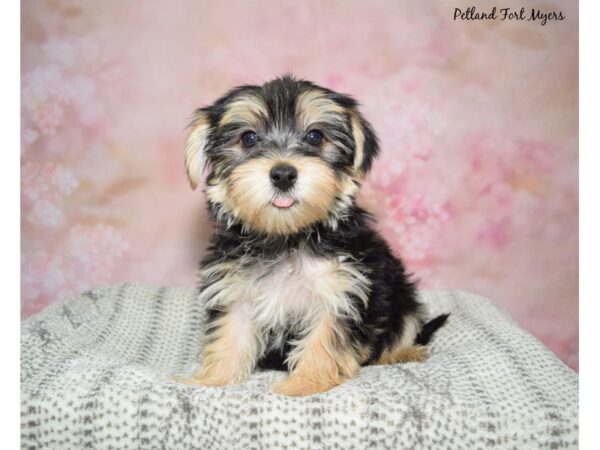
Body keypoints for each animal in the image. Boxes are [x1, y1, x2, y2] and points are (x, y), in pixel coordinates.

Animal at [180, 75, 448, 396]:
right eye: (248, 138)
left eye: (315, 137)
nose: (283, 174)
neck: (286, 236)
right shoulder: (234, 289)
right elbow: (230, 334)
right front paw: (213, 379)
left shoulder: (340, 289)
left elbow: (324, 339)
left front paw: (305, 384)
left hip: (401, 297)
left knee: (406, 326)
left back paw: (402, 352)